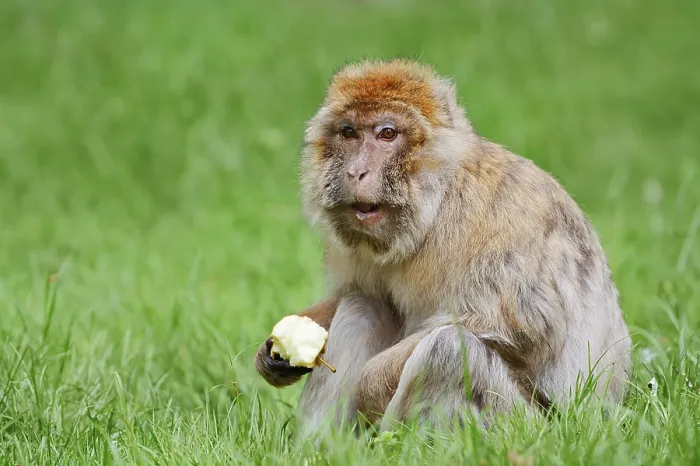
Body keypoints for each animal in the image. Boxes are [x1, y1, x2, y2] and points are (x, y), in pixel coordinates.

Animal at [254, 59, 632, 436]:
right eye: (349, 133)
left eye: (387, 133)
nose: (356, 172)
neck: (434, 206)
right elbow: (358, 290)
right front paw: (273, 349)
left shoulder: (499, 220)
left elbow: (521, 326)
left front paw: (369, 386)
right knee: (365, 305)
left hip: (523, 424)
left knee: (447, 350)